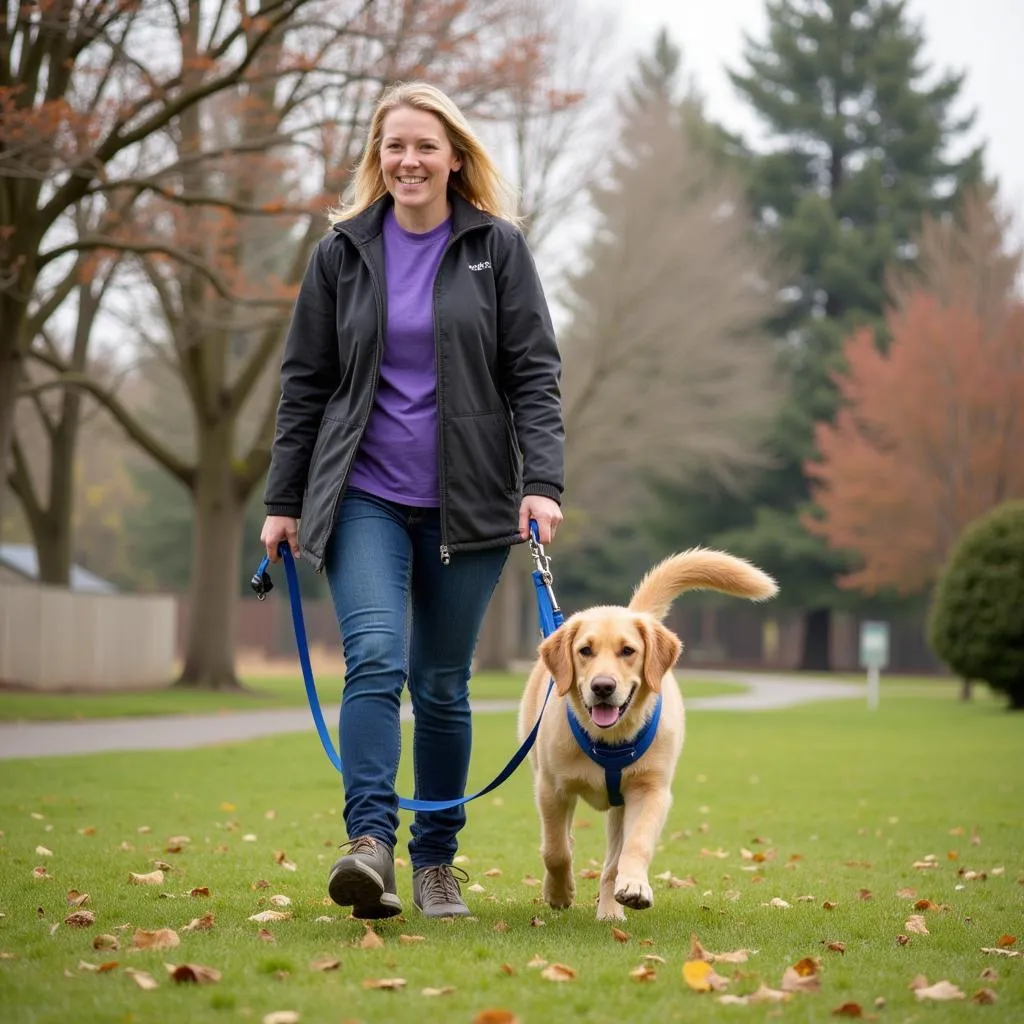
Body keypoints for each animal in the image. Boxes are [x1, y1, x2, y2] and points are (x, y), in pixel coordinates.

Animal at [516, 552, 778, 921]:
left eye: (628, 651)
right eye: (585, 651)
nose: (603, 687)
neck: (609, 741)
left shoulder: (651, 789)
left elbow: (636, 844)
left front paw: (635, 887)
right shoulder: (551, 788)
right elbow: (556, 849)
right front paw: (559, 892)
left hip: (621, 806)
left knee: (613, 861)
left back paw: (611, 909)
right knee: (566, 842)